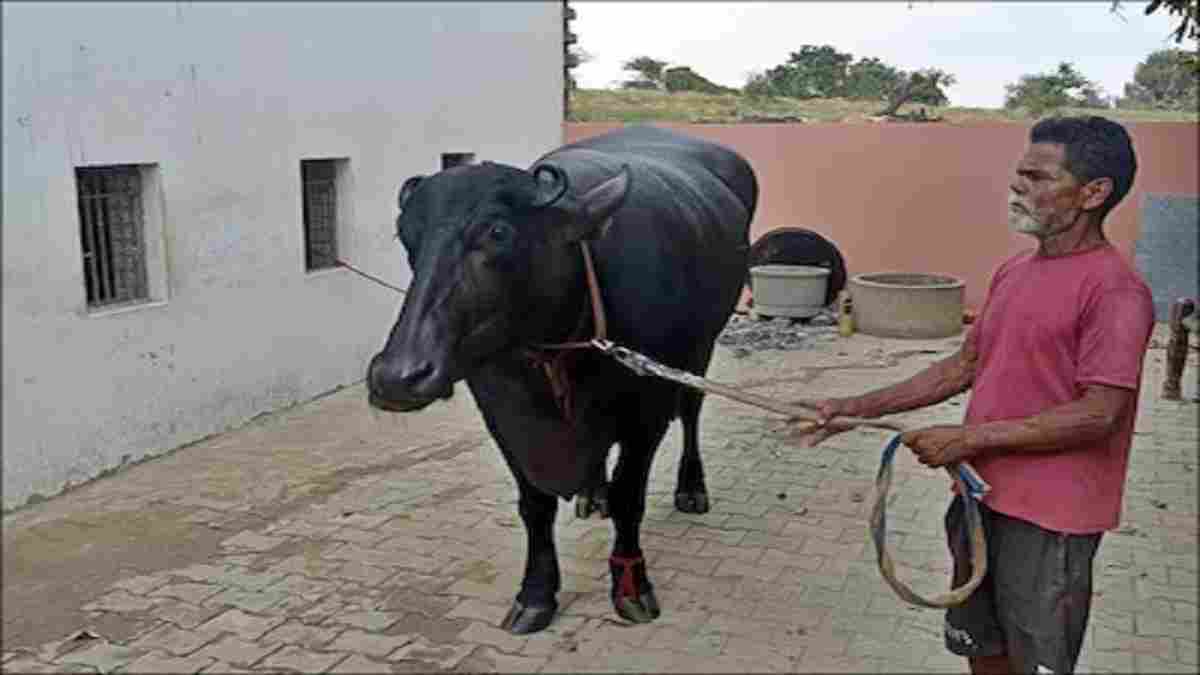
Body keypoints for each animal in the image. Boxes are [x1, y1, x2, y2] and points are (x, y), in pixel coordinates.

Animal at [367, 125, 756, 634]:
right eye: (407, 236)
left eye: (498, 231)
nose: (398, 376)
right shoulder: (503, 416)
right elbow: (535, 505)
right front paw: (535, 594)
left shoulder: (647, 412)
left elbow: (631, 496)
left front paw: (631, 586)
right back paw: (593, 493)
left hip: (703, 346)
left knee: (691, 411)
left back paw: (690, 488)